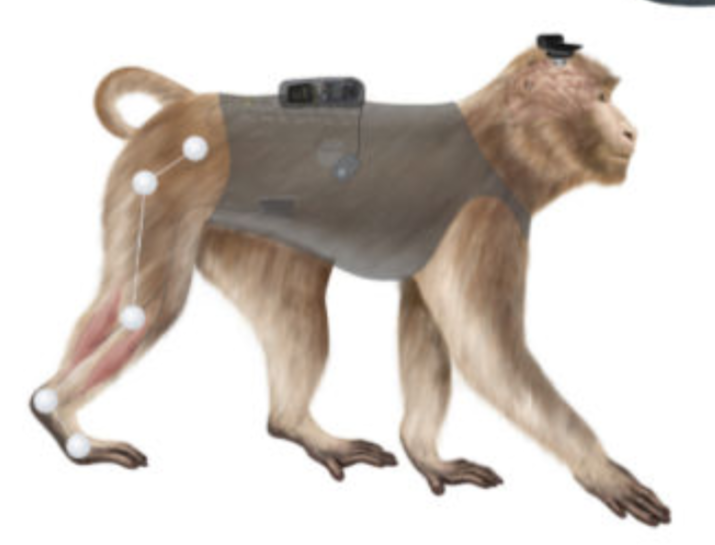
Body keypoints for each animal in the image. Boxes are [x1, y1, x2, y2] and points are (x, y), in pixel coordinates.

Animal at [30, 43, 670, 527]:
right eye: (601, 98)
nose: (631, 130)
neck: (499, 139)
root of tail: (188, 105)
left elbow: (428, 325)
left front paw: (427, 455)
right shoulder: (484, 210)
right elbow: (484, 347)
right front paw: (600, 470)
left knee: (151, 300)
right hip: (170, 186)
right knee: (154, 303)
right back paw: (61, 415)